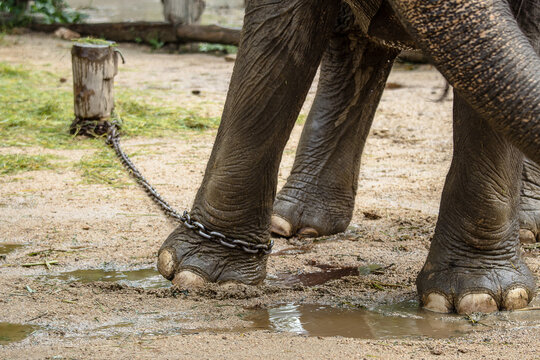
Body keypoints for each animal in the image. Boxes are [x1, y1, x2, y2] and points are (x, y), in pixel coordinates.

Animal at [156, 0, 540, 316]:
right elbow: (278, 38)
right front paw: (203, 277)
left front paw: (480, 298)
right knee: (354, 43)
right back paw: (293, 225)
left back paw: (525, 229)